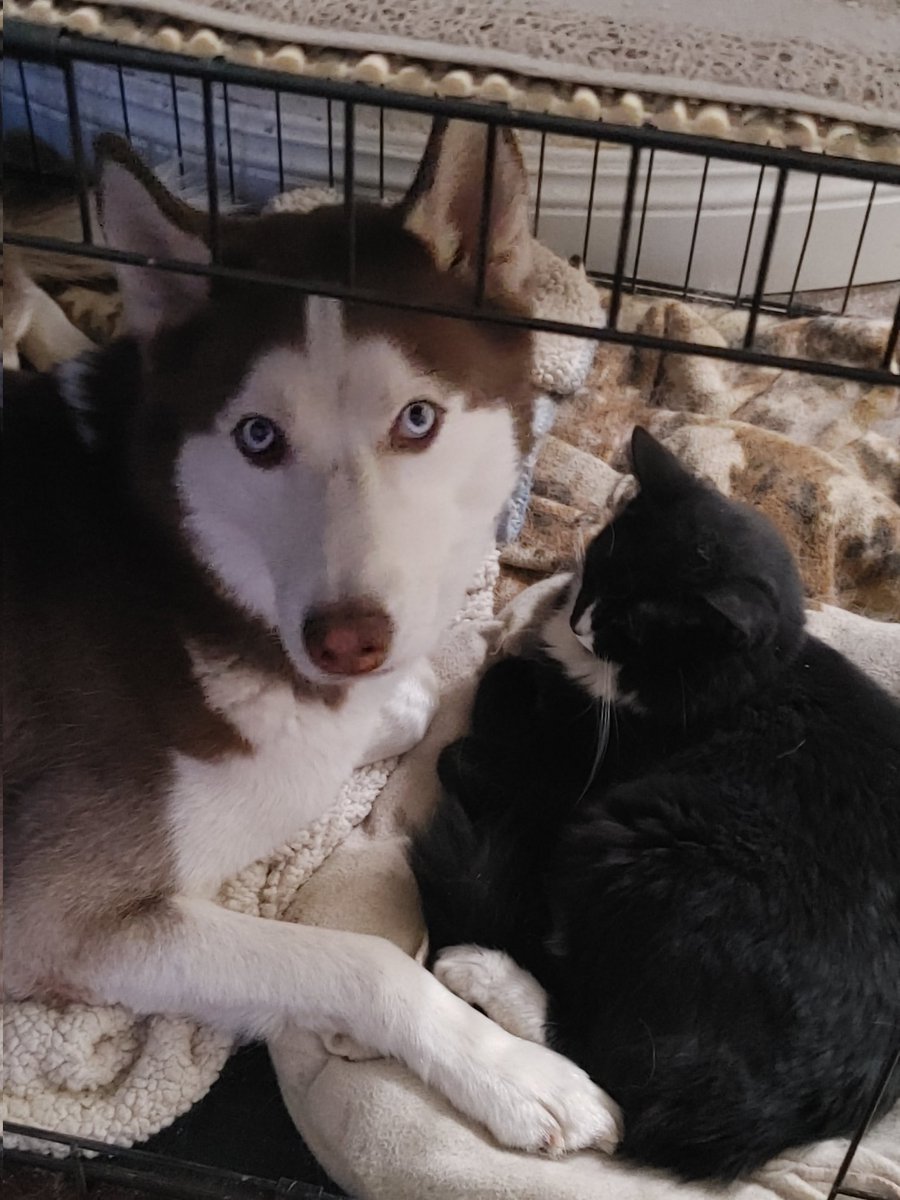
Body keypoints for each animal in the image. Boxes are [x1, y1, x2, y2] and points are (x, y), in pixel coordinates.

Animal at [410, 427, 900, 1176]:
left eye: (634, 625)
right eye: (601, 562)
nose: (581, 619)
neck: (751, 677)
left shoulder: (573, 778)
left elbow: (493, 694)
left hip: (627, 841)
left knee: (606, 1058)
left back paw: (480, 967)